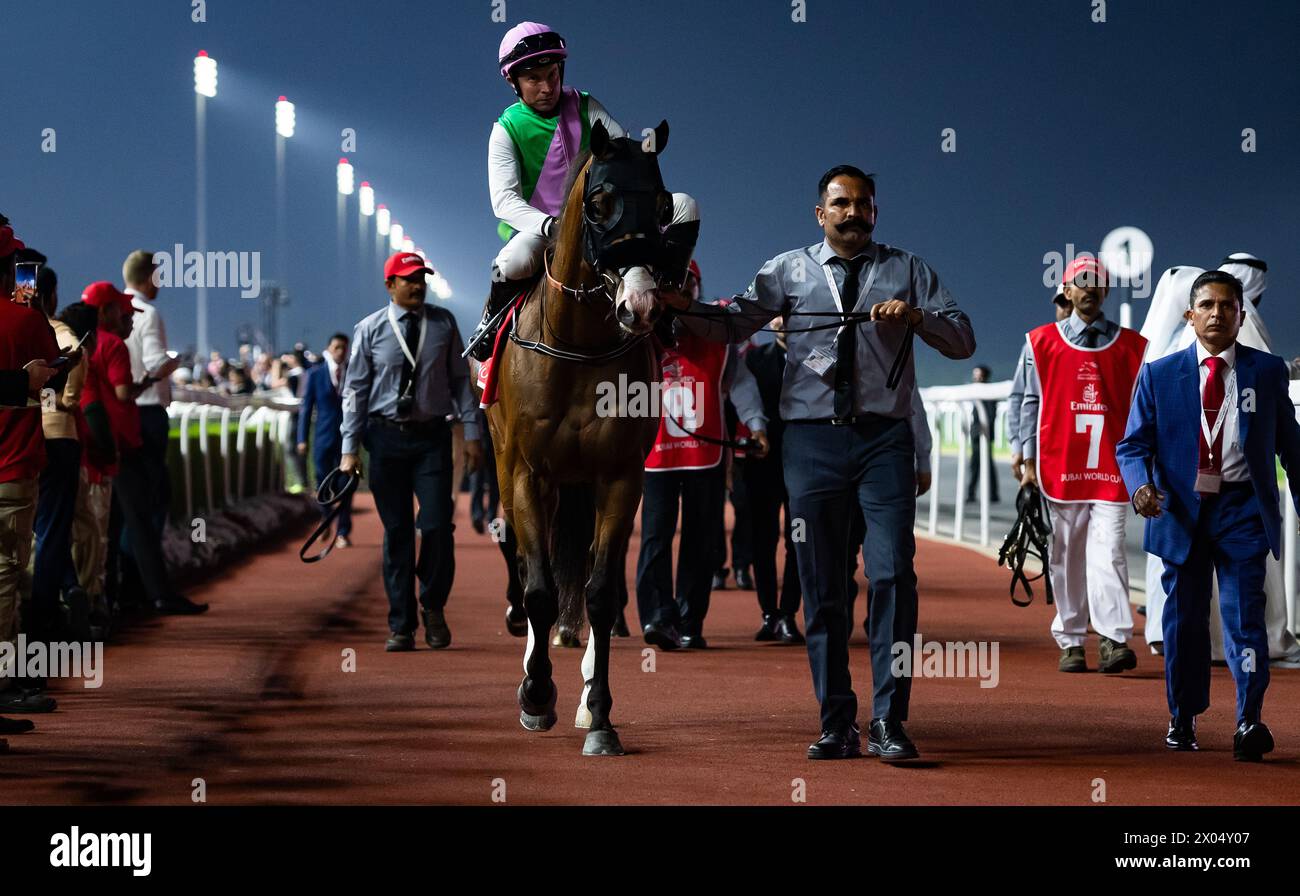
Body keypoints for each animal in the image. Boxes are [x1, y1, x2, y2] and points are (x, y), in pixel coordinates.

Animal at [488, 120, 670, 754]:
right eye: (598, 203)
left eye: (662, 204)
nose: (640, 304)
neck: (578, 347)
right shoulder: (526, 471)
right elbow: (539, 588)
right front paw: (536, 694)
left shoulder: (619, 476)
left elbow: (601, 591)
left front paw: (600, 715)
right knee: (526, 562)